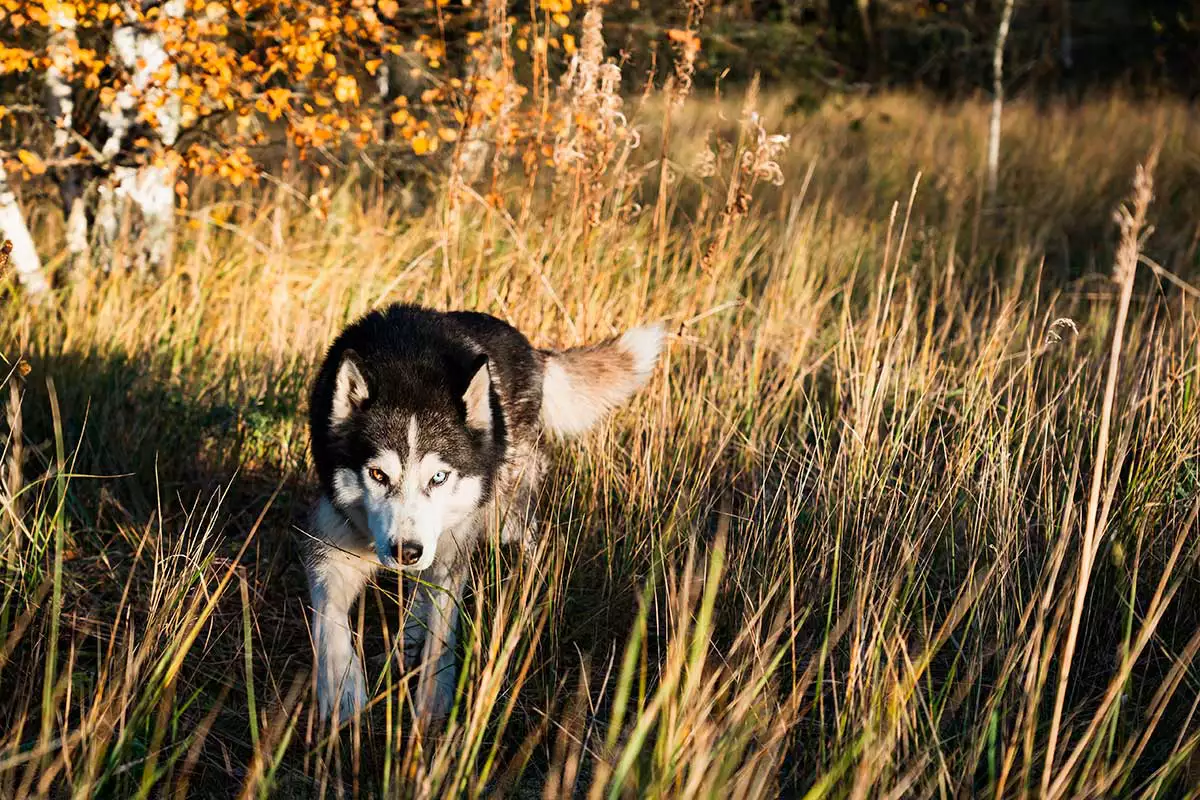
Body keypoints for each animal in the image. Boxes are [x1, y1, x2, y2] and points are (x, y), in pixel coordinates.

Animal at [302, 303, 667, 724]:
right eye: (378, 475)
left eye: (439, 477)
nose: (405, 552)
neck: (406, 365)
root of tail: (529, 347)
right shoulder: (335, 541)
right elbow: (329, 616)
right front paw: (341, 686)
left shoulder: (452, 549)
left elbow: (442, 629)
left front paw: (433, 696)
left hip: (504, 515)